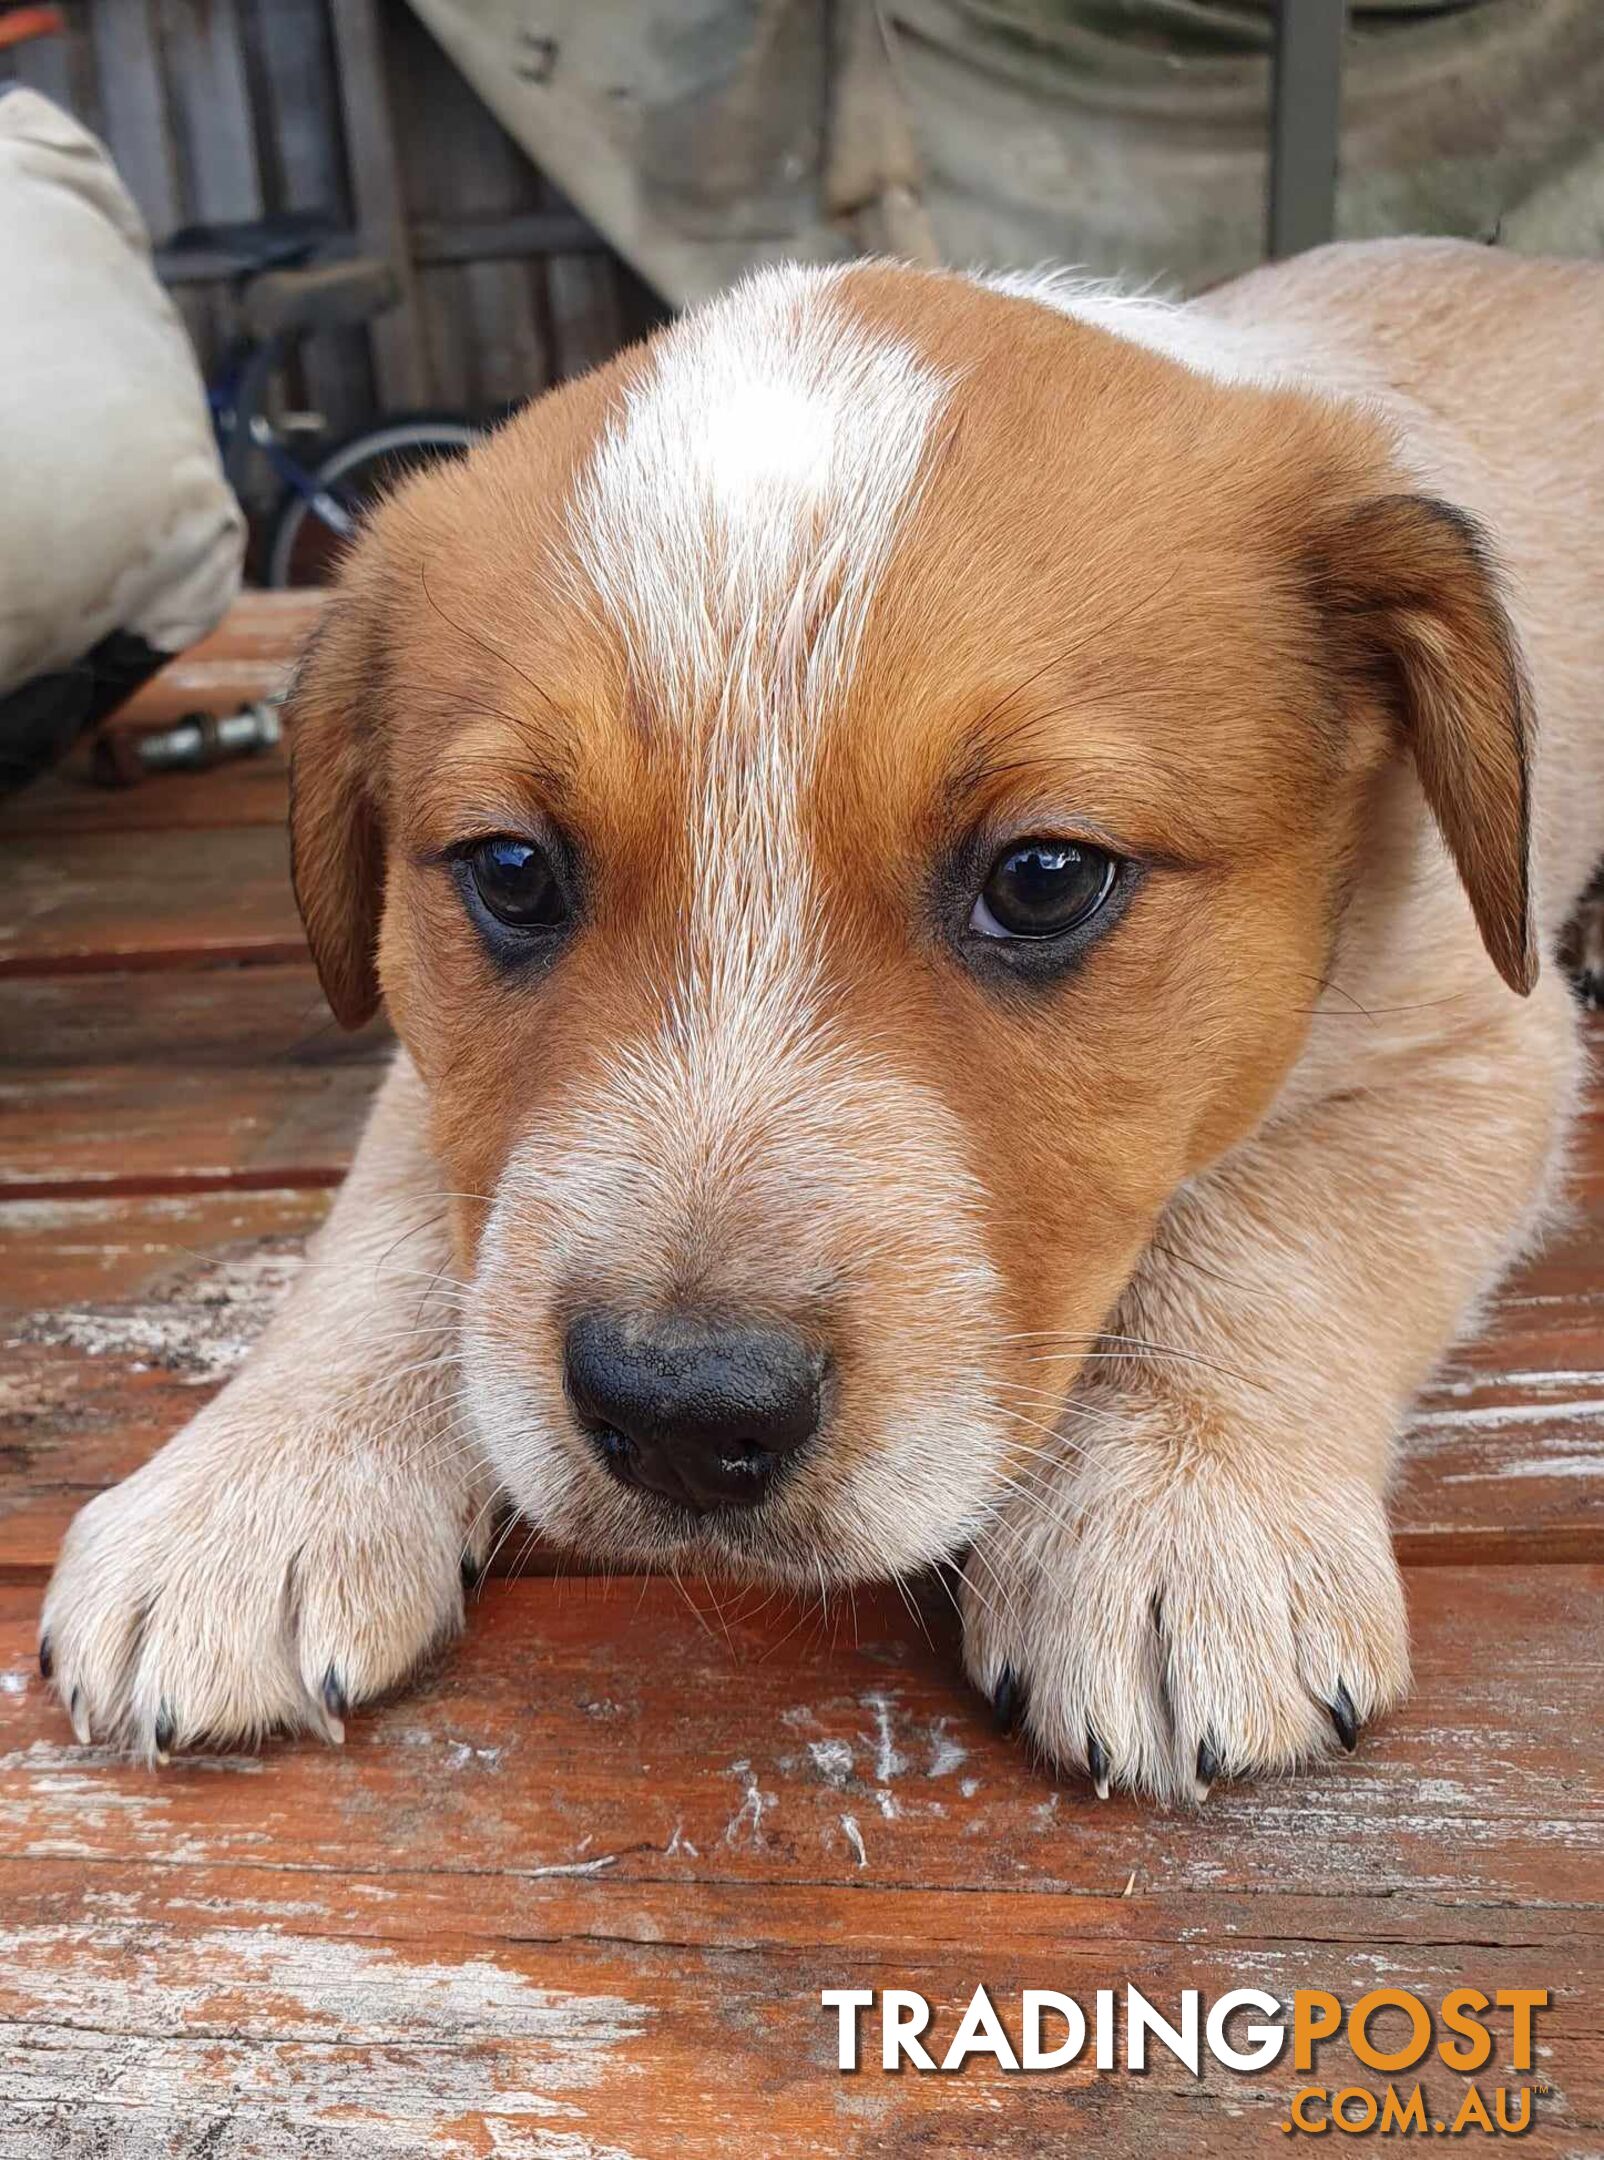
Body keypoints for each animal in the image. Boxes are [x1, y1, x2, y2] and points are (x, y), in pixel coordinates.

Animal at [37, 236, 1604, 1797]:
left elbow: (1276, 1233)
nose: (680, 1417)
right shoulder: (436, 1083)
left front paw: (1177, 1514)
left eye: (1044, 879)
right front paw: (248, 1493)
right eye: (511, 873)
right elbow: (393, 1240)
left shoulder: (1483, 1043)